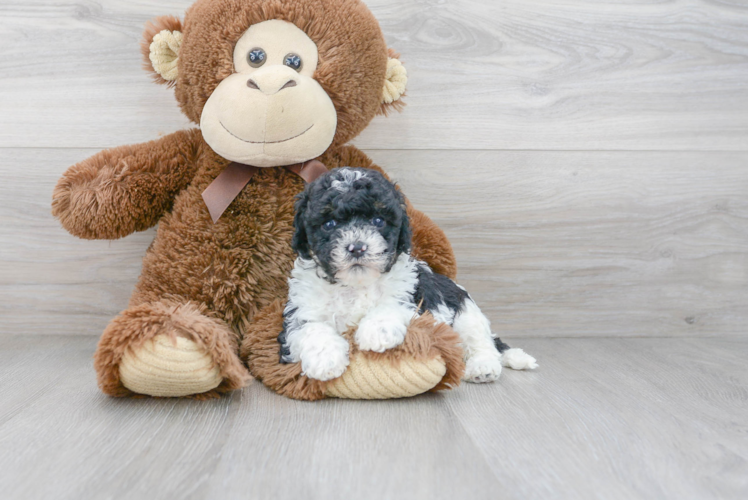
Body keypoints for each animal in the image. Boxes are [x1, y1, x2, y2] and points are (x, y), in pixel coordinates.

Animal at [278, 168, 536, 382]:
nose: (357, 247)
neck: (355, 284)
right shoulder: (298, 312)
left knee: (482, 342)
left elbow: (391, 304)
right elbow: (311, 328)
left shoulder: (414, 297)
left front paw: (376, 331)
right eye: (329, 223)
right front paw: (325, 360)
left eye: (378, 220)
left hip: (466, 312)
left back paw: (483, 367)